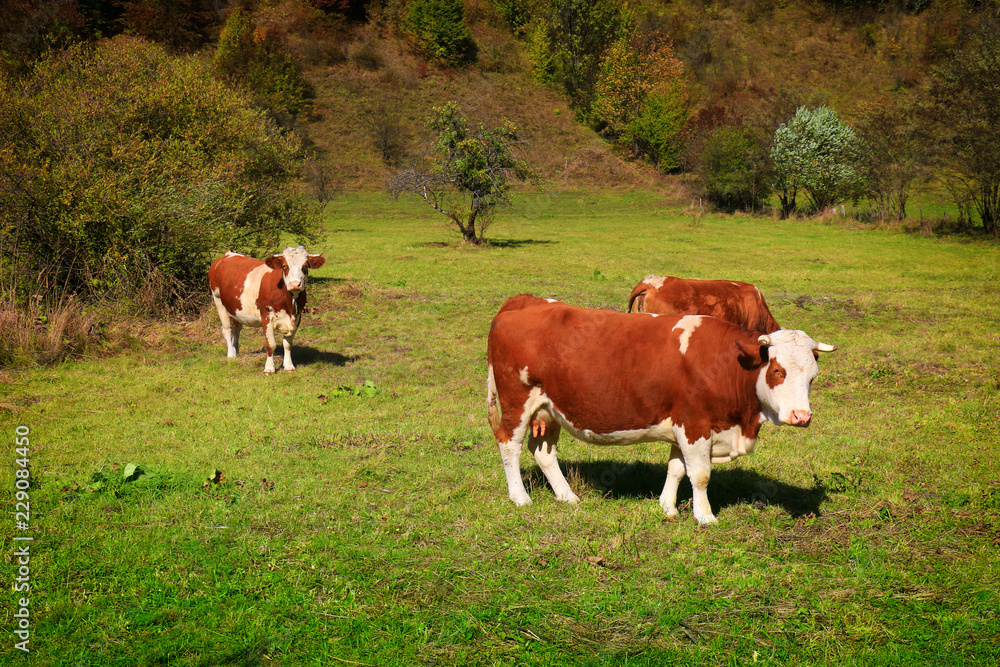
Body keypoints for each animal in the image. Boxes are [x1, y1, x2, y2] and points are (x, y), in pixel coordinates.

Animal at [486, 294, 836, 524]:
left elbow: (677, 468)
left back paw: (567, 496)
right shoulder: (696, 425)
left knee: (544, 453)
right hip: (518, 401)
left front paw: (667, 507)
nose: (802, 417)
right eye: (777, 370)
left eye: (813, 376)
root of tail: (524, 300)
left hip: (550, 408)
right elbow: (701, 475)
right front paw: (705, 516)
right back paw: (520, 497)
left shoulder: (684, 425)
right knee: (509, 444)